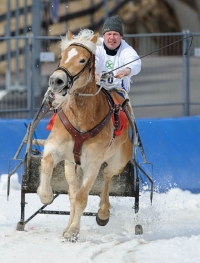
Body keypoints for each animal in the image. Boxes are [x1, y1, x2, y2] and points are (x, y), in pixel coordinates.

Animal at [37, 28, 134, 241]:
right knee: (72, 193)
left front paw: (74, 231)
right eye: (62, 56)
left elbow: (83, 197)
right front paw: (46, 195)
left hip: (118, 161)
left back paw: (103, 212)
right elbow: (47, 163)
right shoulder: (56, 148)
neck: (81, 114)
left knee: (107, 175)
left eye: (82, 60)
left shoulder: (93, 162)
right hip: (71, 166)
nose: (56, 80)